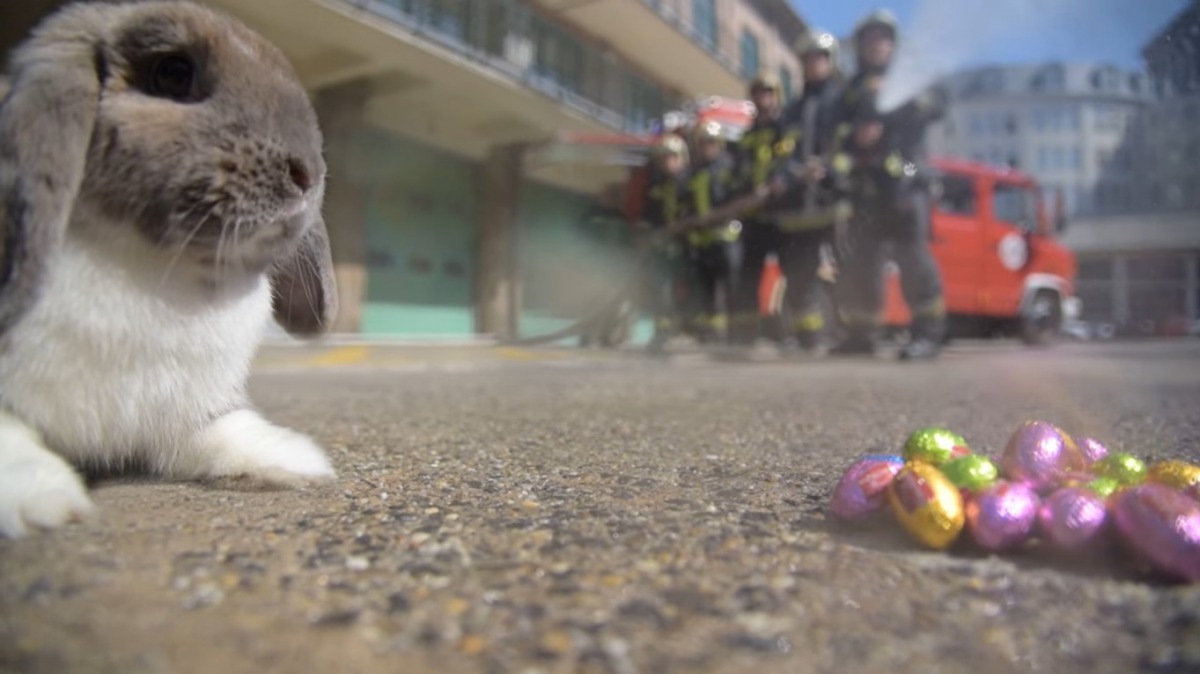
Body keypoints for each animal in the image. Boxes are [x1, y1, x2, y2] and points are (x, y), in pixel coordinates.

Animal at [0, 0, 343, 534]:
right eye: (173, 73)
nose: (307, 174)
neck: (158, 269)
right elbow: (11, 438)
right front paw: (43, 500)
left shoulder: (183, 408)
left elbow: (217, 431)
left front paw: (292, 457)